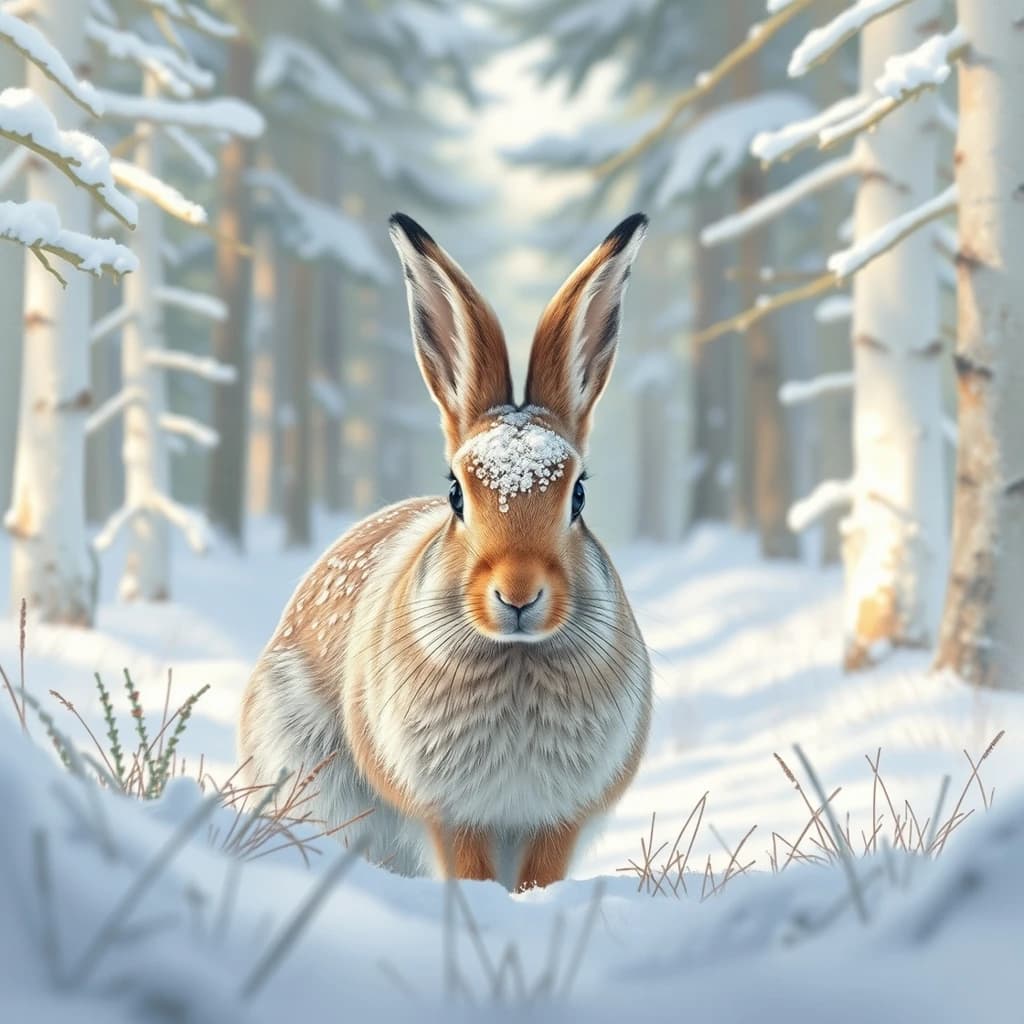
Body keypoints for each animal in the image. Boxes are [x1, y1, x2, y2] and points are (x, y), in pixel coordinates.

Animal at [238, 212, 652, 890]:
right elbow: (469, 867)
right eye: (456, 493)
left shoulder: (559, 817)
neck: (516, 656)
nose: (518, 592)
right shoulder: (450, 811)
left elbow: (541, 874)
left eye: (579, 495)